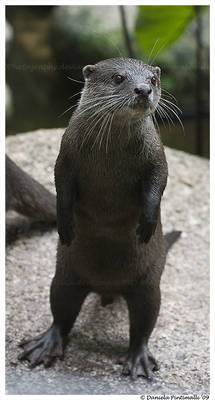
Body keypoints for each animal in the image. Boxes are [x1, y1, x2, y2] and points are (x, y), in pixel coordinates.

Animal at [18, 57, 173, 380]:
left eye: (153, 79)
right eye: (119, 78)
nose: (143, 89)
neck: (109, 155)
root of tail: (107, 288)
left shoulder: (156, 154)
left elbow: (159, 181)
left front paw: (147, 223)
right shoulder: (66, 154)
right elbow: (60, 185)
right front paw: (64, 224)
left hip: (149, 285)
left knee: (143, 326)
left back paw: (138, 360)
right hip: (64, 278)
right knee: (61, 316)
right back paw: (45, 345)